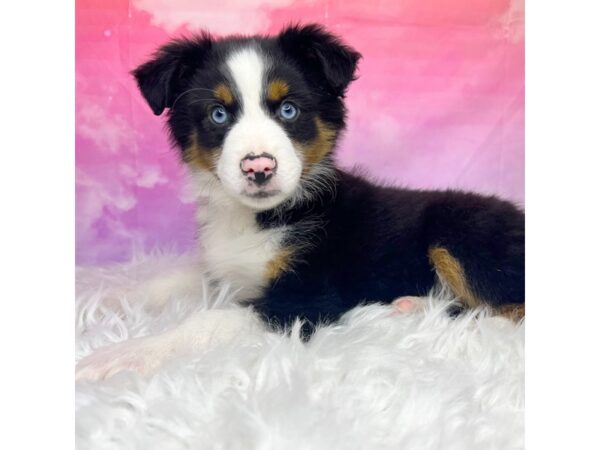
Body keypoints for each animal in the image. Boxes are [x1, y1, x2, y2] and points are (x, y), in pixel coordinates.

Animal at [76, 24, 524, 382]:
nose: (258, 166)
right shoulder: (226, 269)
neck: (260, 217)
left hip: (461, 232)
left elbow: (210, 320)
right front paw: (104, 300)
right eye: (219, 114)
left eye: (288, 109)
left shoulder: (306, 297)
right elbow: (166, 281)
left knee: (508, 310)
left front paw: (128, 354)